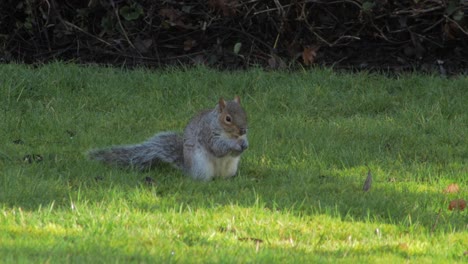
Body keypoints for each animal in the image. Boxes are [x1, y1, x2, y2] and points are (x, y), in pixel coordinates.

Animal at [88, 97, 249, 182]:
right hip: (201, 166)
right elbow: (218, 147)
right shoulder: (207, 133)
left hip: (230, 168)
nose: (243, 130)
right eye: (228, 119)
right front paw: (234, 144)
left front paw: (245, 143)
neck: (230, 134)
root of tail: (188, 169)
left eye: (244, 113)